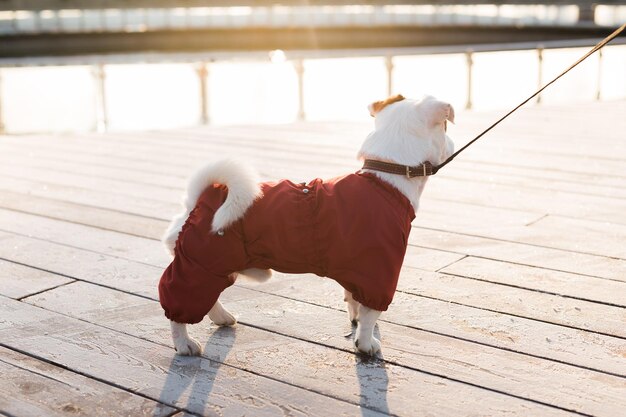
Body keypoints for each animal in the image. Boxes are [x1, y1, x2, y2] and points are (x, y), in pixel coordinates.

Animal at [158, 93, 450, 354]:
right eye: (445, 126)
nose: (451, 139)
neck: (386, 175)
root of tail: (197, 202)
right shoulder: (378, 272)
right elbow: (370, 316)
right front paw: (366, 344)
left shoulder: (357, 271)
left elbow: (353, 302)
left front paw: (355, 321)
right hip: (197, 267)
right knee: (179, 309)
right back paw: (184, 344)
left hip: (212, 269)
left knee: (207, 299)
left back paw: (222, 317)